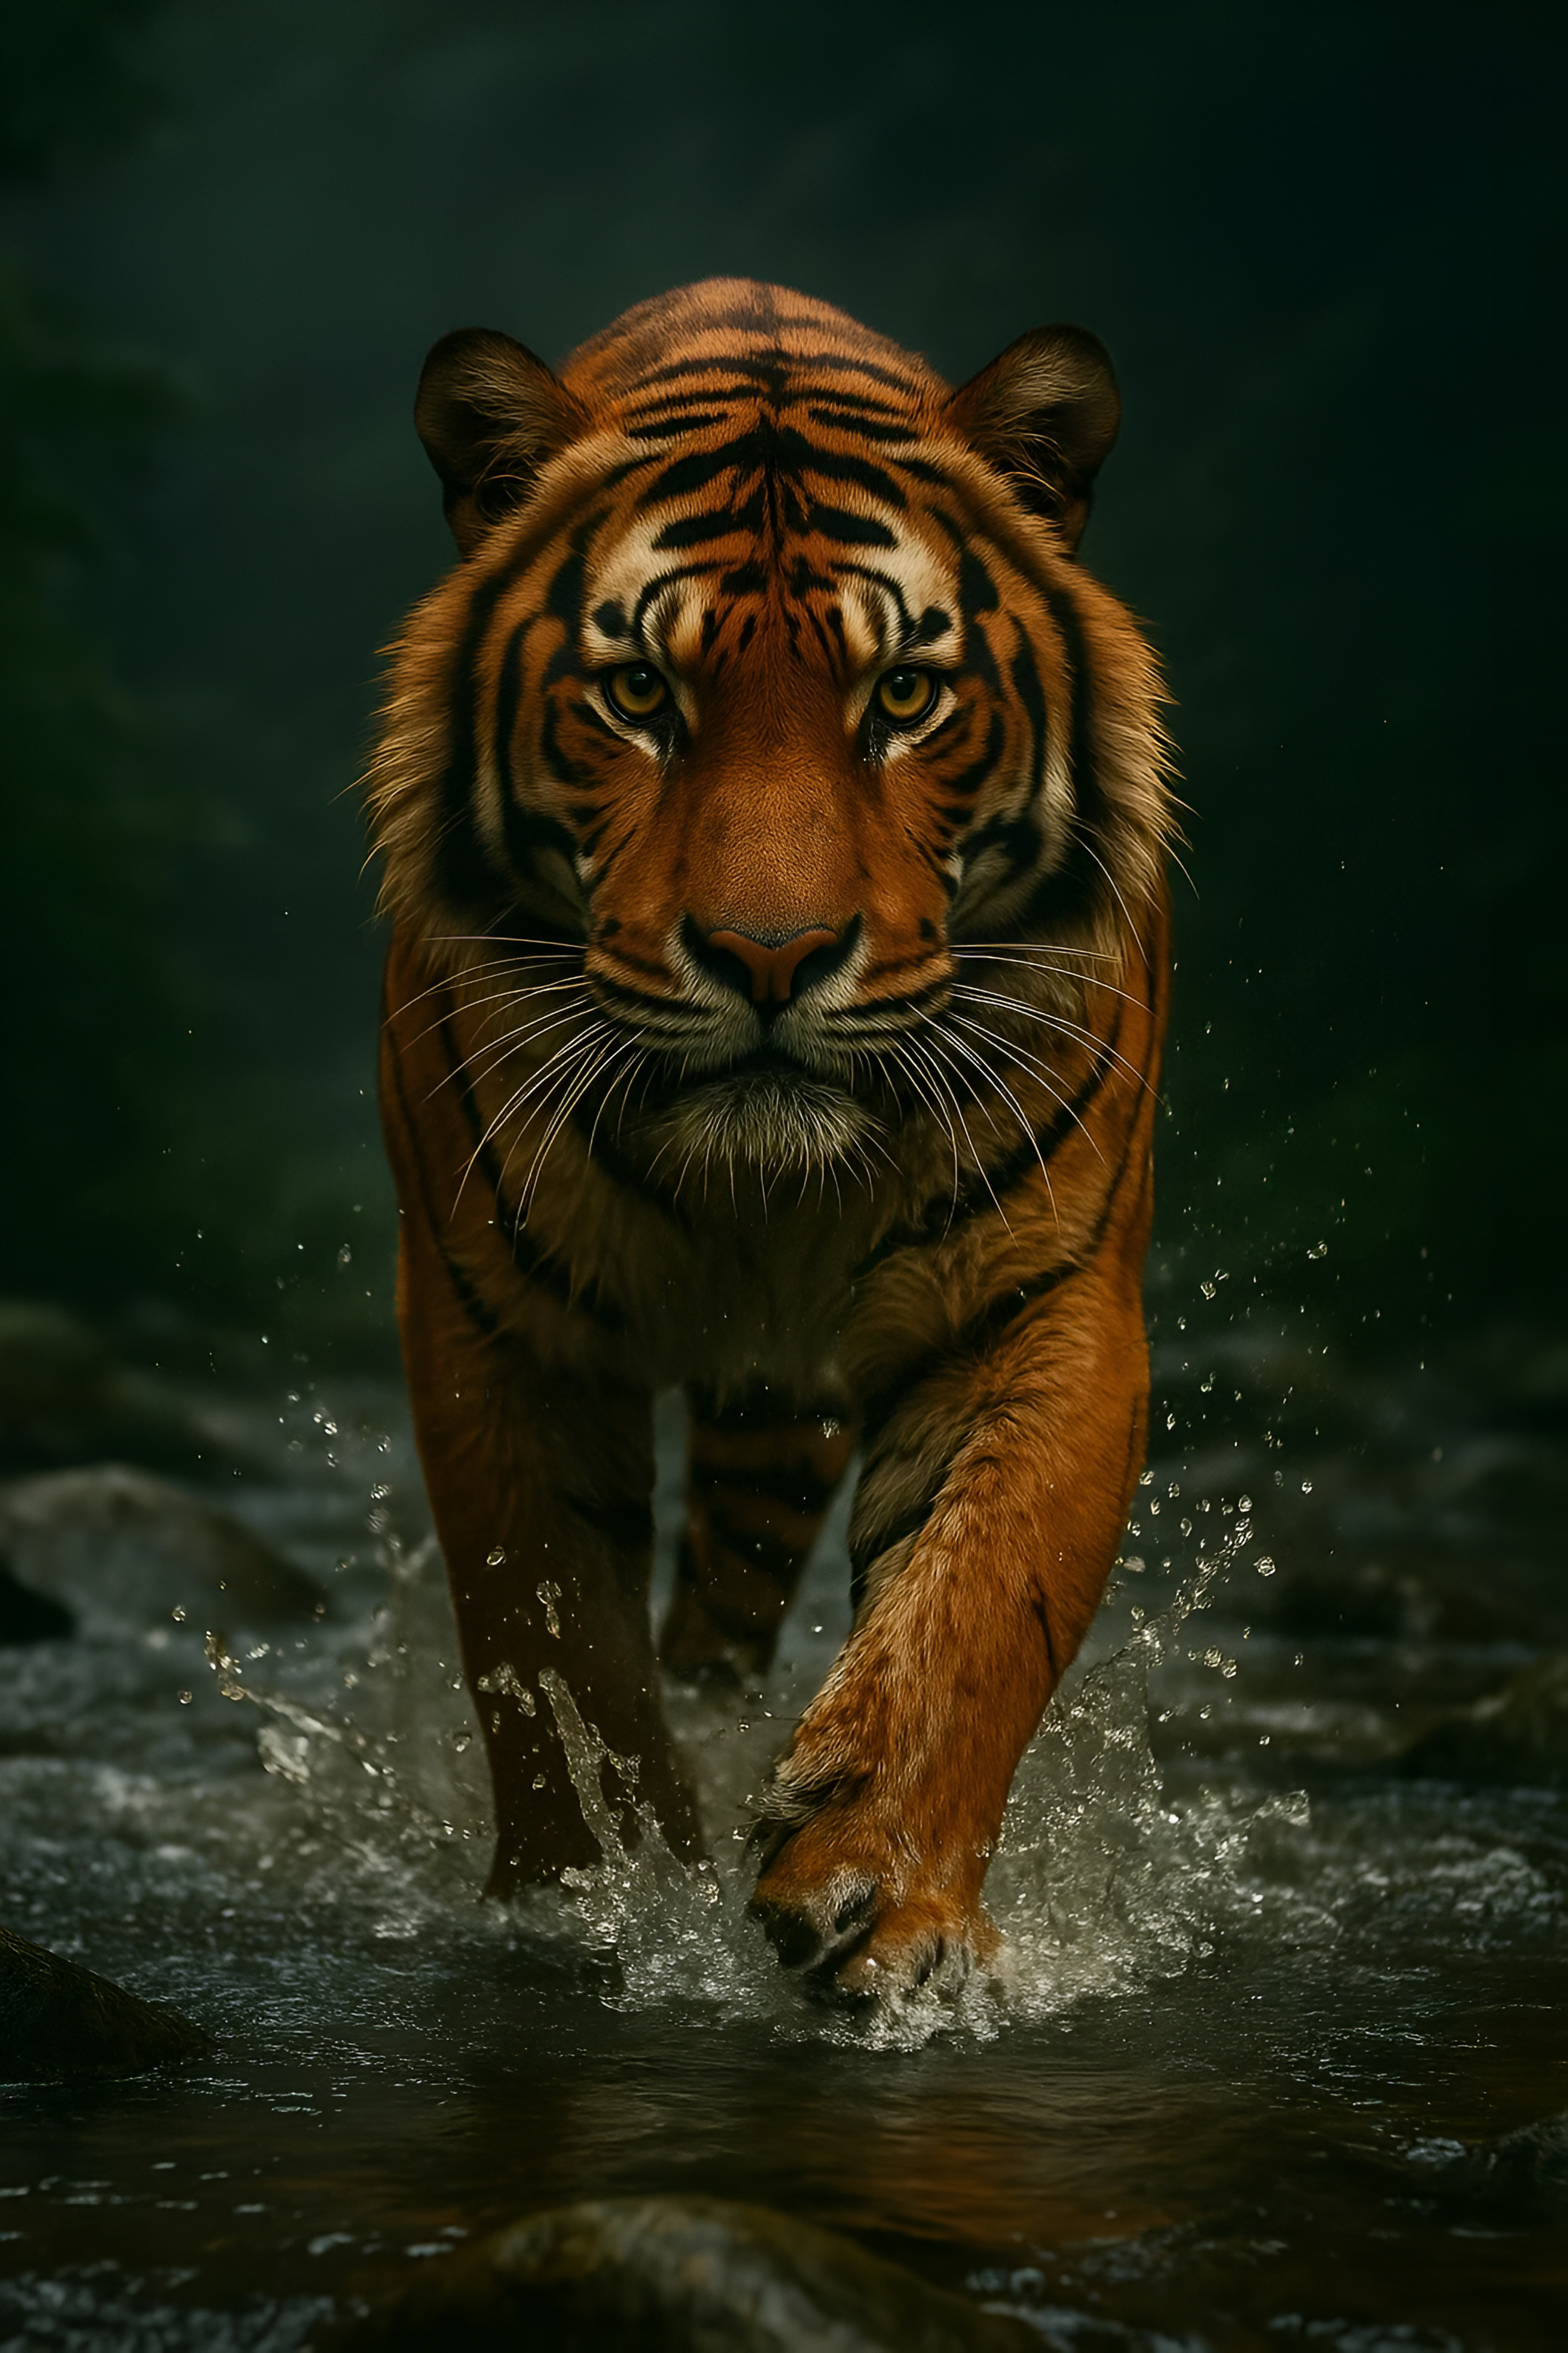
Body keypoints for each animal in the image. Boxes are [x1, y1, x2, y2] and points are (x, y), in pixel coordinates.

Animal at [367, 277, 1172, 2001]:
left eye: (905, 698)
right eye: (638, 697)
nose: (770, 954)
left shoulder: (1046, 1306)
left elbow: (977, 1604)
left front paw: (881, 1893)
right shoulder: (490, 1329)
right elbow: (549, 1634)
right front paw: (593, 1891)